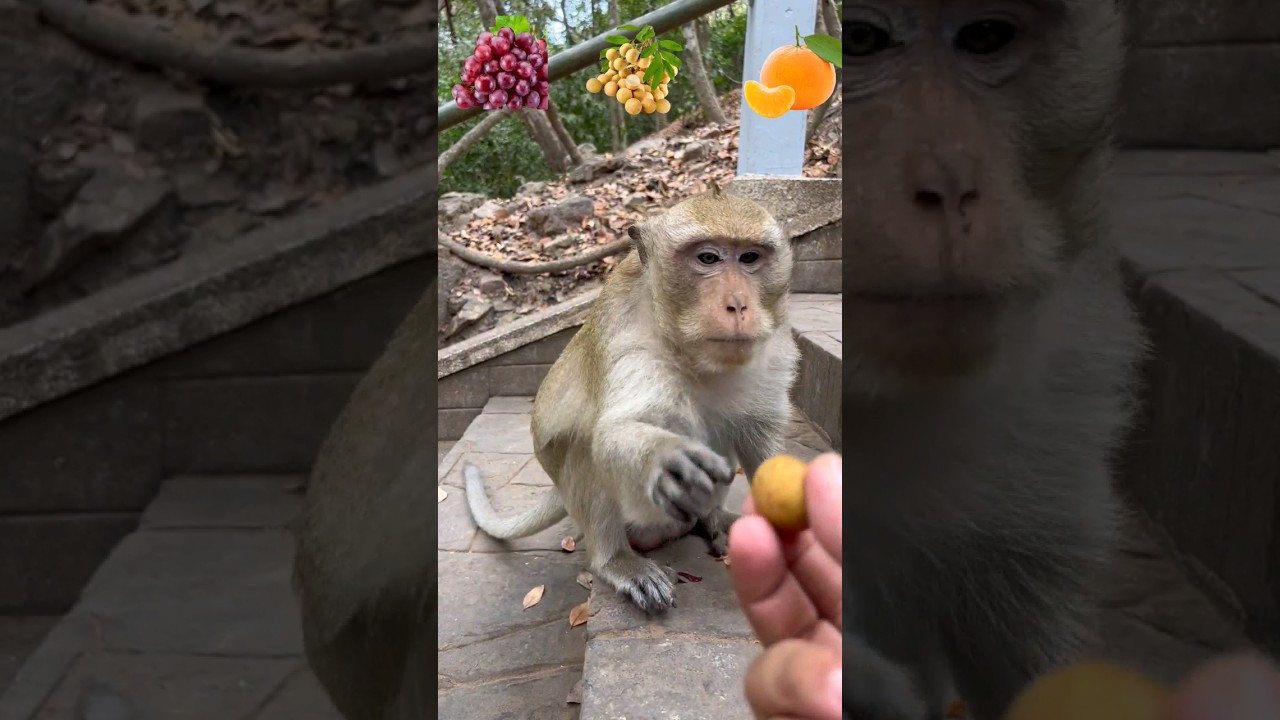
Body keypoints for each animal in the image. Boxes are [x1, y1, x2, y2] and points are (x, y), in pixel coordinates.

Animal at [464, 186, 800, 614]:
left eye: (750, 258)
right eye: (708, 258)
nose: (738, 304)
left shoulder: (772, 346)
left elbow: (758, 436)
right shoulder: (630, 339)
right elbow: (613, 435)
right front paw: (664, 458)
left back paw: (712, 518)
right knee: (585, 448)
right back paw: (618, 561)